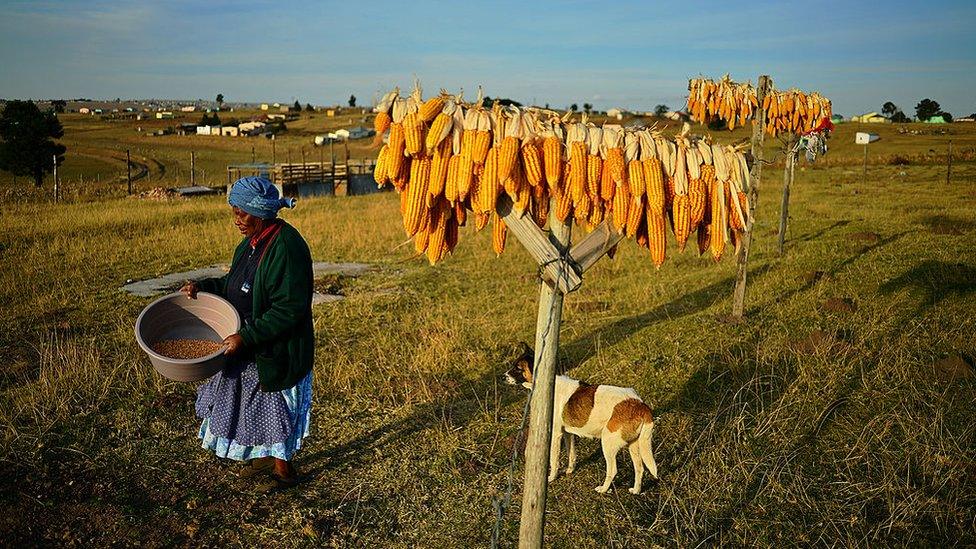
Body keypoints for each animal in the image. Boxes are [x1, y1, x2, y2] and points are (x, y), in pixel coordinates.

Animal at [508, 342, 660, 492]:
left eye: (518, 368)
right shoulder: (567, 433)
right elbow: (571, 454)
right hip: (634, 445)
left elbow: (554, 460)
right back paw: (636, 490)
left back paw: (603, 489)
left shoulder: (555, 435)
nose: (504, 376)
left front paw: (551, 477)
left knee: (613, 470)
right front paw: (570, 470)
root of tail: (640, 404)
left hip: (608, 442)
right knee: (639, 469)